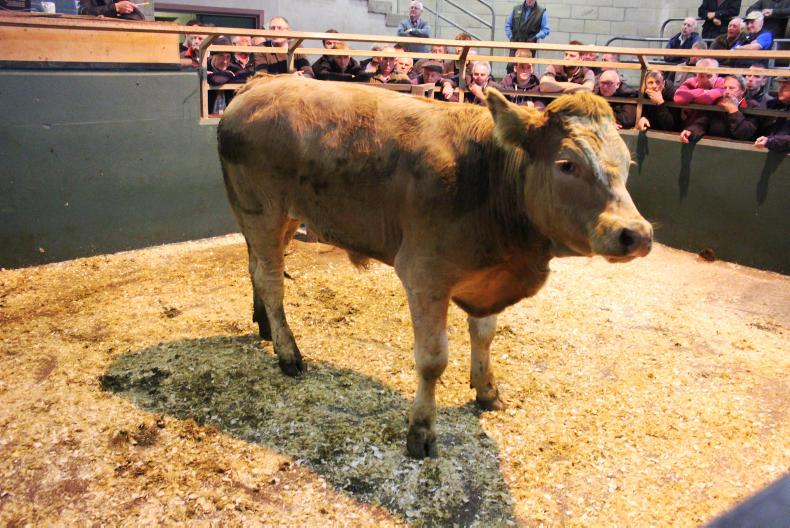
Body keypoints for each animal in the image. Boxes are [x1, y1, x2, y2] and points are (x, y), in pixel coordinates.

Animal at [217, 74, 652, 458]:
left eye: (627, 161)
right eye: (567, 164)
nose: (635, 233)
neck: (487, 178)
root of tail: (261, 83)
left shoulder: (485, 278)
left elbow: (484, 335)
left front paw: (486, 390)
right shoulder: (424, 275)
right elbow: (432, 360)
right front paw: (421, 431)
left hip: (284, 217)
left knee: (257, 267)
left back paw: (265, 326)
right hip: (261, 210)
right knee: (271, 281)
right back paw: (288, 353)